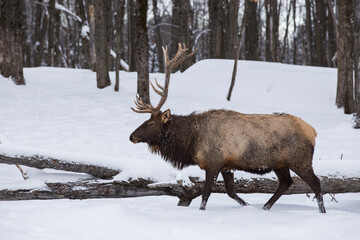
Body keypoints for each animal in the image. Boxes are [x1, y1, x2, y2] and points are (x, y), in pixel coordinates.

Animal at [129, 43, 326, 214]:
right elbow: (231, 192)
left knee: (315, 183)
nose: (131, 136)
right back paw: (264, 207)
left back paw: (322, 212)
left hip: (299, 159)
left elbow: (206, 194)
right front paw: (247, 207)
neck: (191, 142)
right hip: (280, 163)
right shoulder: (227, 166)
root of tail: (313, 131)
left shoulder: (213, 163)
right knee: (286, 182)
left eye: (150, 123)